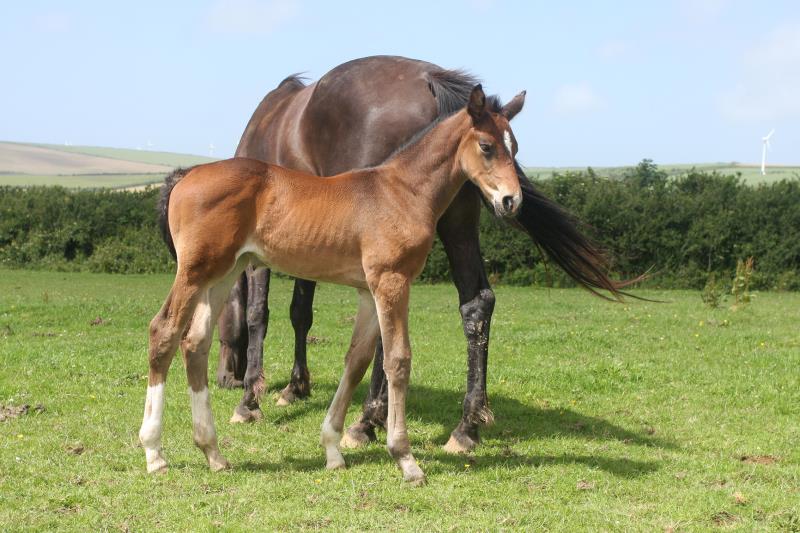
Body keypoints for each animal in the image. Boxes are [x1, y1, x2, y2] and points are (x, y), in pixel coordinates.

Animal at [142, 86, 532, 482]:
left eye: (514, 147)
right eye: (486, 146)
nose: (511, 201)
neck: (403, 191)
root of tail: (185, 176)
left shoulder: (368, 291)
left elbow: (356, 360)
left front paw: (334, 448)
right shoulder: (392, 281)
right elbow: (398, 360)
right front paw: (405, 458)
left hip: (223, 274)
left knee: (195, 343)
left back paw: (213, 453)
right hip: (195, 272)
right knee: (164, 331)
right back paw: (154, 453)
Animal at [214, 56, 624, 450]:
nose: (223, 378)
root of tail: (431, 80)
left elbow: (257, 313)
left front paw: (250, 400)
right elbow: (301, 312)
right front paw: (295, 387)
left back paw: (368, 421)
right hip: (459, 222)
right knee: (477, 303)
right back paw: (466, 428)